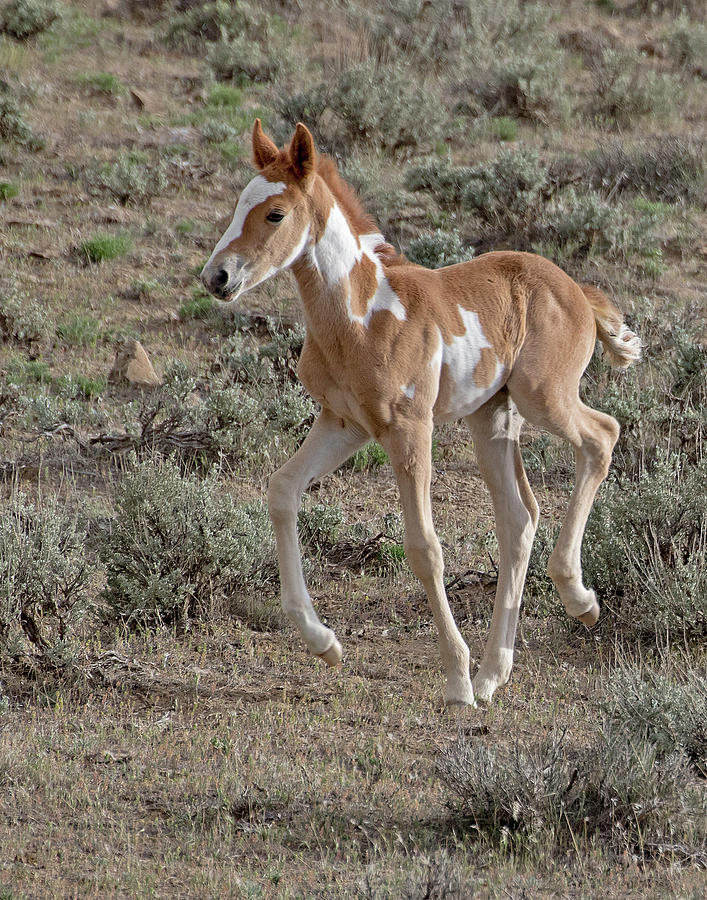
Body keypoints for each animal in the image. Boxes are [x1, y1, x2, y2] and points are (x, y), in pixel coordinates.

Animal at [201, 121, 640, 712]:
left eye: (275, 213)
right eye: (238, 204)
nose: (217, 277)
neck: (360, 316)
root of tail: (575, 289)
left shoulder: (410, 428)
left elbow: (424, 547)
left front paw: (455, 681)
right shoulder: (345, 424)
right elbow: (282, 489)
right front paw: (324, 642)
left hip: (541, 396)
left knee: (602, 436)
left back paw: (575, 601)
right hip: (492, 418)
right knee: (519, 518)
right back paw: (494, 673)